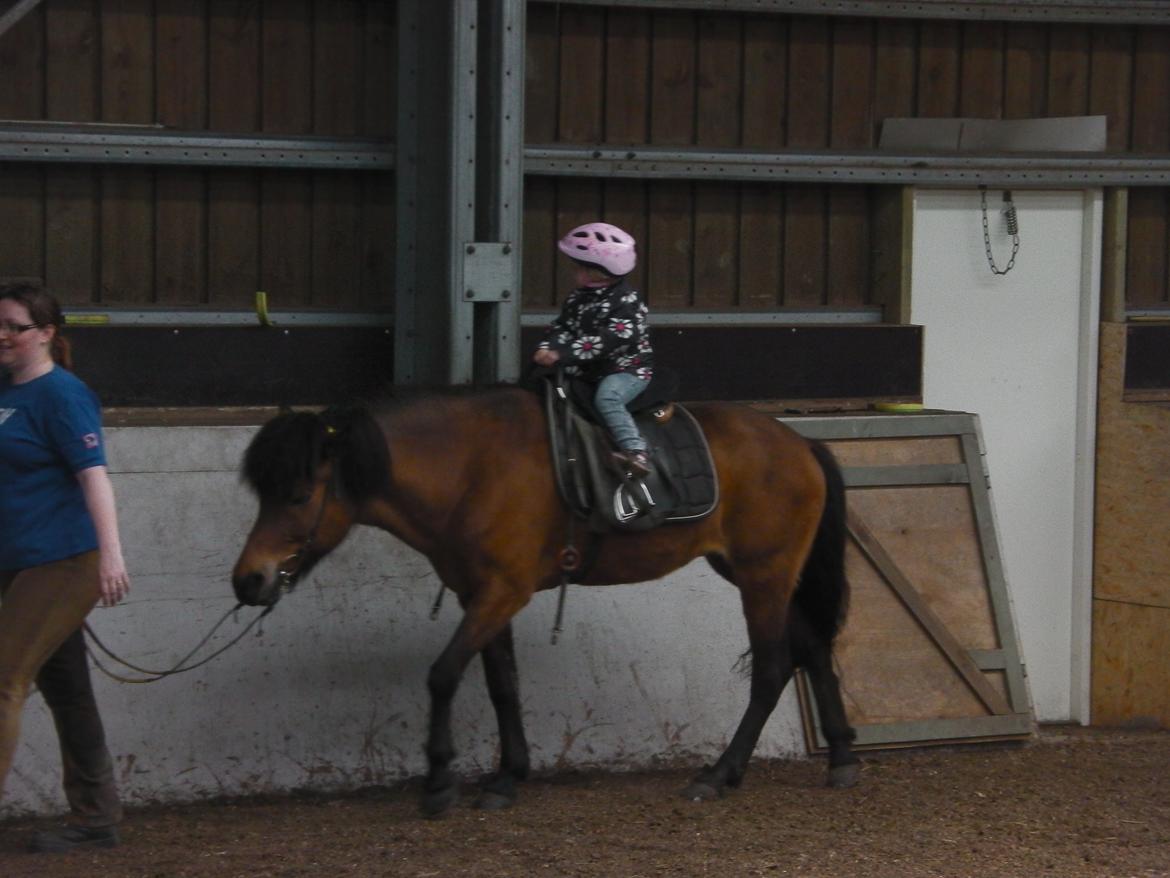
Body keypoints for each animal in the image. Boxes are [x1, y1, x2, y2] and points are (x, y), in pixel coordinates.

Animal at [232, 386, 861, 819]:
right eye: (261, 493)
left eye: (298, 495)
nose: (248, 581)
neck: (470, 470)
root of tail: (801, 443)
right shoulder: (482, 595)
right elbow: (501, 685)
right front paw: (508, 776)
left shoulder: (500, 593)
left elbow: (443, 674)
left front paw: (439, 781)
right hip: (759, 572)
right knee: (813, 647)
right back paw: (841, 758)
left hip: (764, 575)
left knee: (774, 668)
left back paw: (719, 773)